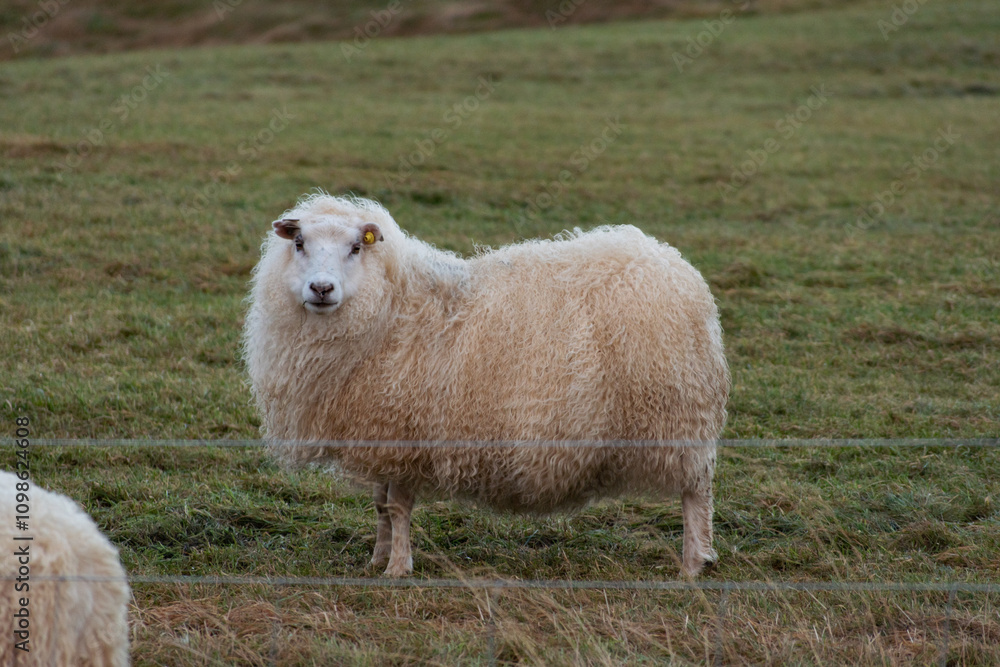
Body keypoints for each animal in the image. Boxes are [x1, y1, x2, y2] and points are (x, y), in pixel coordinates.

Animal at [244, 193, 730, 578]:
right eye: (300, 244)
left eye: (354, 248)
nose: (321, 288)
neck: (391, 307)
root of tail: (672, 264)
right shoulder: (380, 431)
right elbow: (381, 505)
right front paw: (377, 559)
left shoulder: (408, 431)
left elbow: (398, 508)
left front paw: (398, 569)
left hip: (678, 415)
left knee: (696, 491)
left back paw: (693, 564)